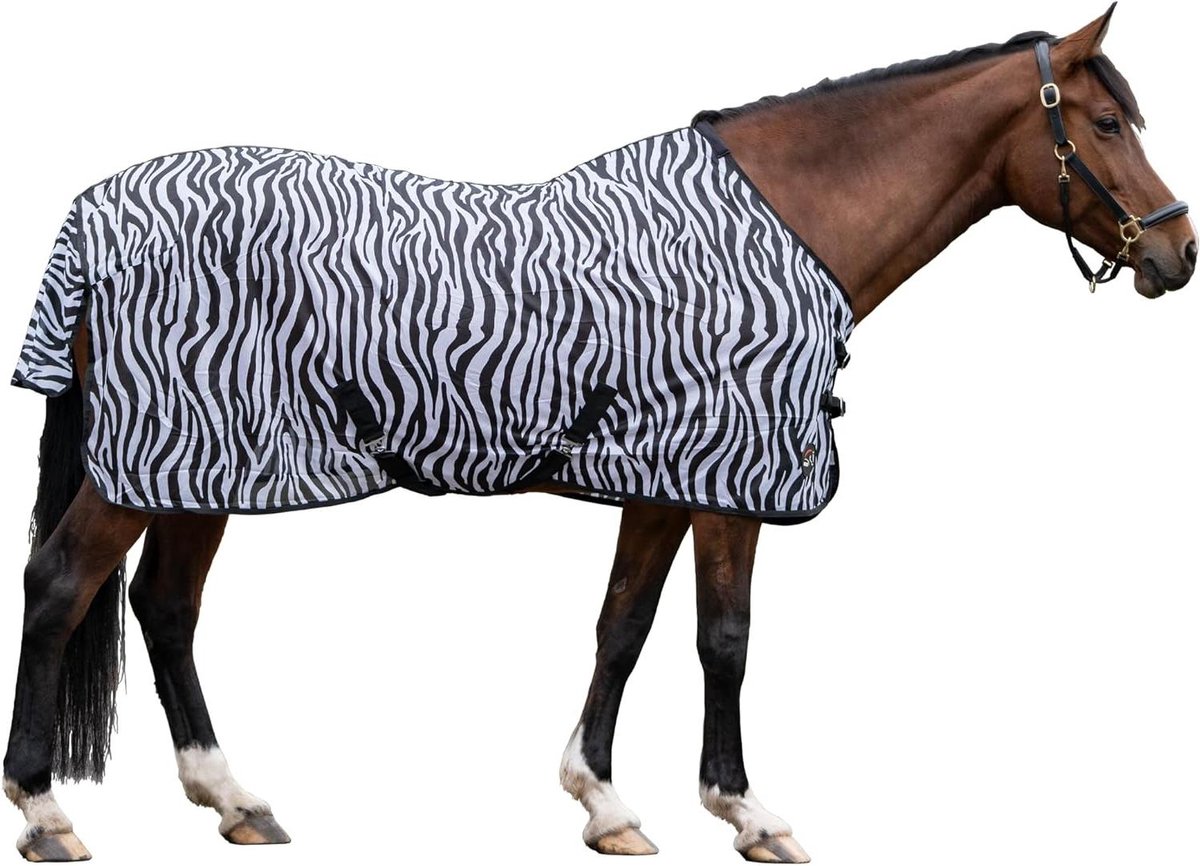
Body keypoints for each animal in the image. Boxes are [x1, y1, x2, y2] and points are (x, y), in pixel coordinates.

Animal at [3, 5, 1194, 863]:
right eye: (1105, 125)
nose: (1175, 255)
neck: (778, 231)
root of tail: (92, 214)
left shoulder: (662, 481)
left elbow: (623, 625)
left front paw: (603, 800)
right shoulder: (727, 481)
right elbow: (725, 636)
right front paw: (746, 810)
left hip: (200, 468)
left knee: (165, 607)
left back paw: (234, 798)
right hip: (154, 465)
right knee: (61, 583)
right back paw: (46, 813)